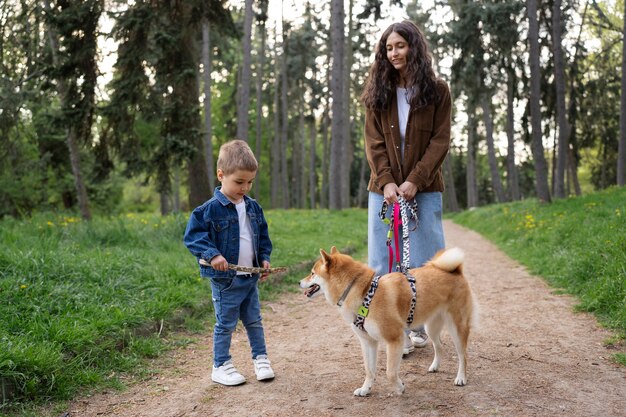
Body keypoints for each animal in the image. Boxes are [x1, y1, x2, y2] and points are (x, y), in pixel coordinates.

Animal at [300, 247, 476, 396]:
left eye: (312, 273)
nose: (298, 282)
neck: (364, 293)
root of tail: (455, 271)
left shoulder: (394, 339)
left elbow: (390, 373)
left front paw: (399, 387)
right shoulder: (368, 342)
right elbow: (369, 370)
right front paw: (365, 389)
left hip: (457, 328)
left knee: (463, 355)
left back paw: (461, 378)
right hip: (431, 327)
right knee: (439, 347)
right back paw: (435, 367)